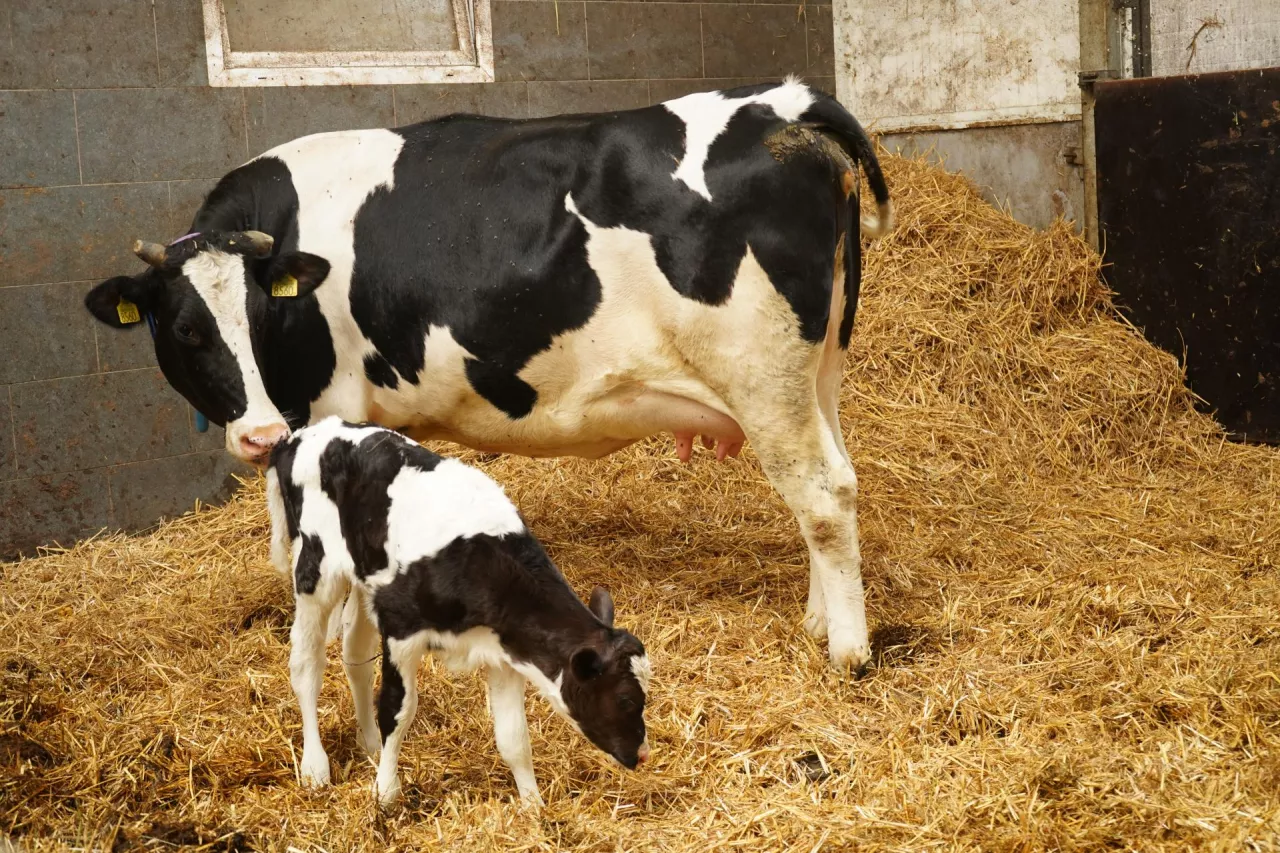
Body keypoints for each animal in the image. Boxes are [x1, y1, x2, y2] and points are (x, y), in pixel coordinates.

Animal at [85, 76, 896, 666]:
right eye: (187, 329)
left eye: (263, 319)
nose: (256, 435)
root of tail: (782, 102)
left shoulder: (327, 408)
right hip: (817, 372)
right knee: (834, 482)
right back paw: (819, 620)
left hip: (761, 376)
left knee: (821, 493)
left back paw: (847, 650)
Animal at [267, 417, 650, 804]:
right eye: (625, 699)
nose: (643, 754)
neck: (478, 564)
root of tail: (303, 435)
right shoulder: (401, 632)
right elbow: (397, 710)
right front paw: (386, 793)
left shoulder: (504, 652)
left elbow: (514, 738)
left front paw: (533, 806)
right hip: (315, 572)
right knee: (306, 665)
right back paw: (314, 766)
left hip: (364, 581)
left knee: (355, 657)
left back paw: (369, 743)